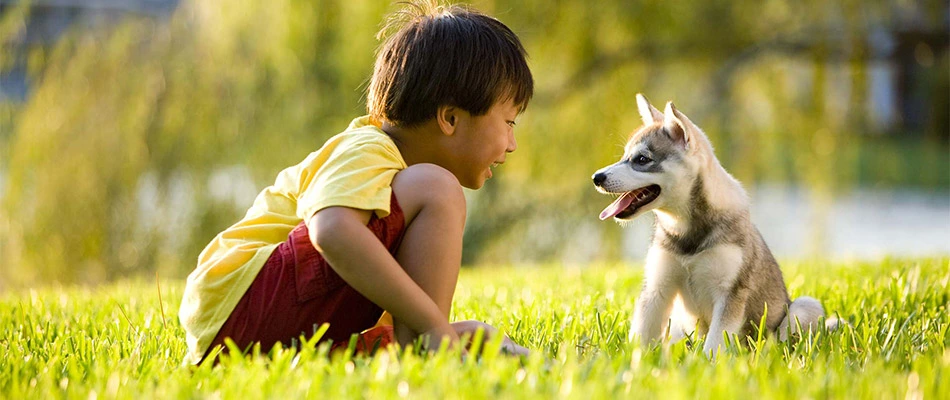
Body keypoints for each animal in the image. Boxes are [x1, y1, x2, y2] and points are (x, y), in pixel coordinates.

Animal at [596, 94, 832, 356]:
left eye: (642, 159)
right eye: (624, 157)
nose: (597, 177)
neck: (686, 230)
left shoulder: (729, 294)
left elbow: (715, 342)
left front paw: (707, 362)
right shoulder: (657, 288)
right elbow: (641, 334)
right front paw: (632, 360)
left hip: (804, 307)